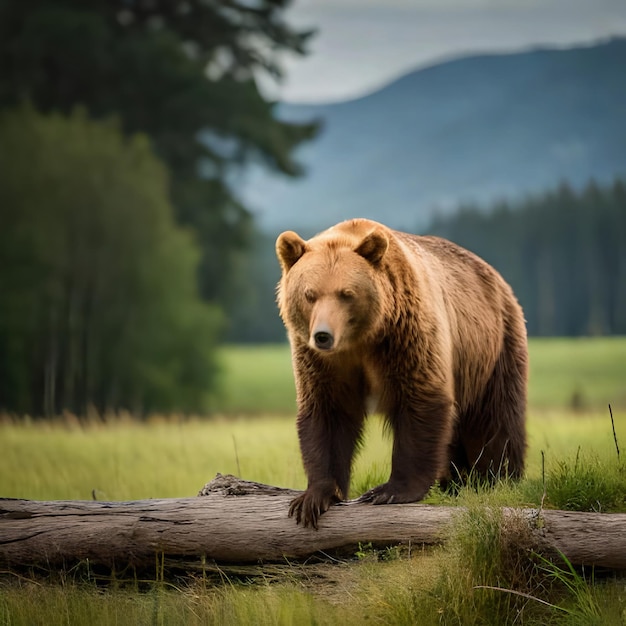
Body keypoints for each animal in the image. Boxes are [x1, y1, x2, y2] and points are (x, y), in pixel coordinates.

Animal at [276, 218, 524, 528]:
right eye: (310, 294)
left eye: (347, 294)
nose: (323, 335)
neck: (361, 340)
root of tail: (494, 275)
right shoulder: (323, 363)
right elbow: (327, 412)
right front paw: (313, 498)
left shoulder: (406, 336)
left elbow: (421, 400)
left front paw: (389, 491)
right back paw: (455, 482)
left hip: (492, 348)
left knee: (494, 419)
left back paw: (497, 478)